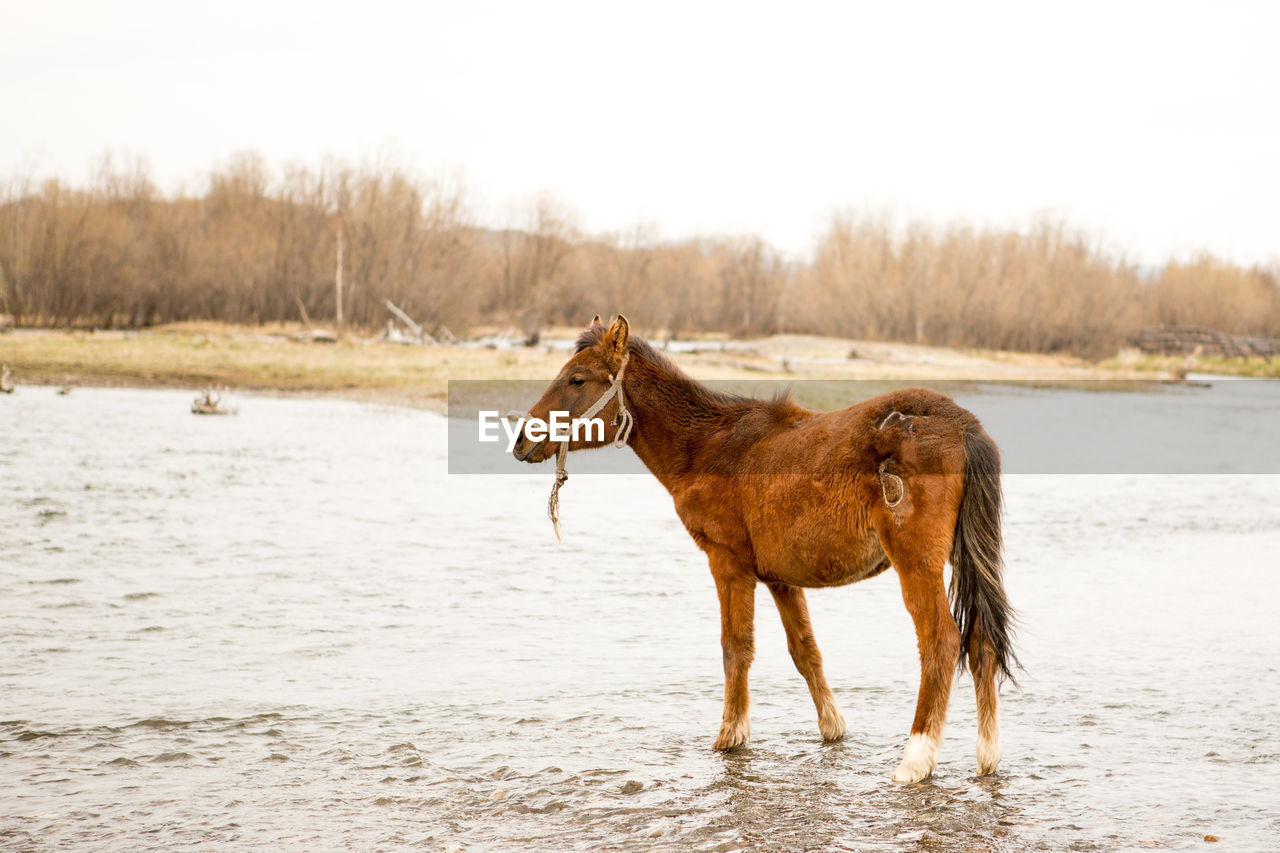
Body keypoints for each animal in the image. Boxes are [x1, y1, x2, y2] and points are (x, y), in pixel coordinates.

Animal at [512, 315, 1018, 778]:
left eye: (577, 379)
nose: (521, 440)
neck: (705, 447)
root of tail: (963, 425)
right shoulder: (780, 578)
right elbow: (805, 651)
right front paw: (833, 728)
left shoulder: (728, 564)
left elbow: (735, 648)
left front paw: (730, 736)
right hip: (963, 556)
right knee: (980, 640)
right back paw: (988, 756)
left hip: (916, 562)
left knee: (941, 642)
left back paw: (915, 760)